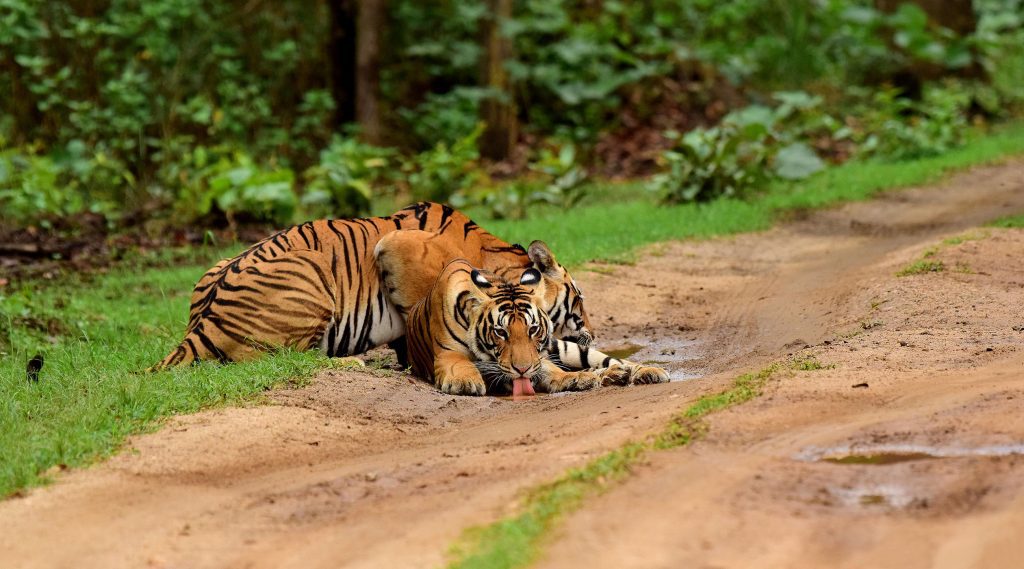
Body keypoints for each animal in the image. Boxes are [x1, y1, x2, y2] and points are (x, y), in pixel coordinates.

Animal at [148, 202, 589, 370]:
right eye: (579, 299)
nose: (589, 332)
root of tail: (197, 326)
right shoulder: (396, 246)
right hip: (313, 272)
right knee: (282, 358)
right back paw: (350, 363)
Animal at [403, 257, 602, 395]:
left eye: (533, 329)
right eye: (500, 332)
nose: (522, 370)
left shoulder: (538, 358)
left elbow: (548, 367)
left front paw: (577, 377)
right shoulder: (448, 352)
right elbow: (459, 363)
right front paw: (464, 380)